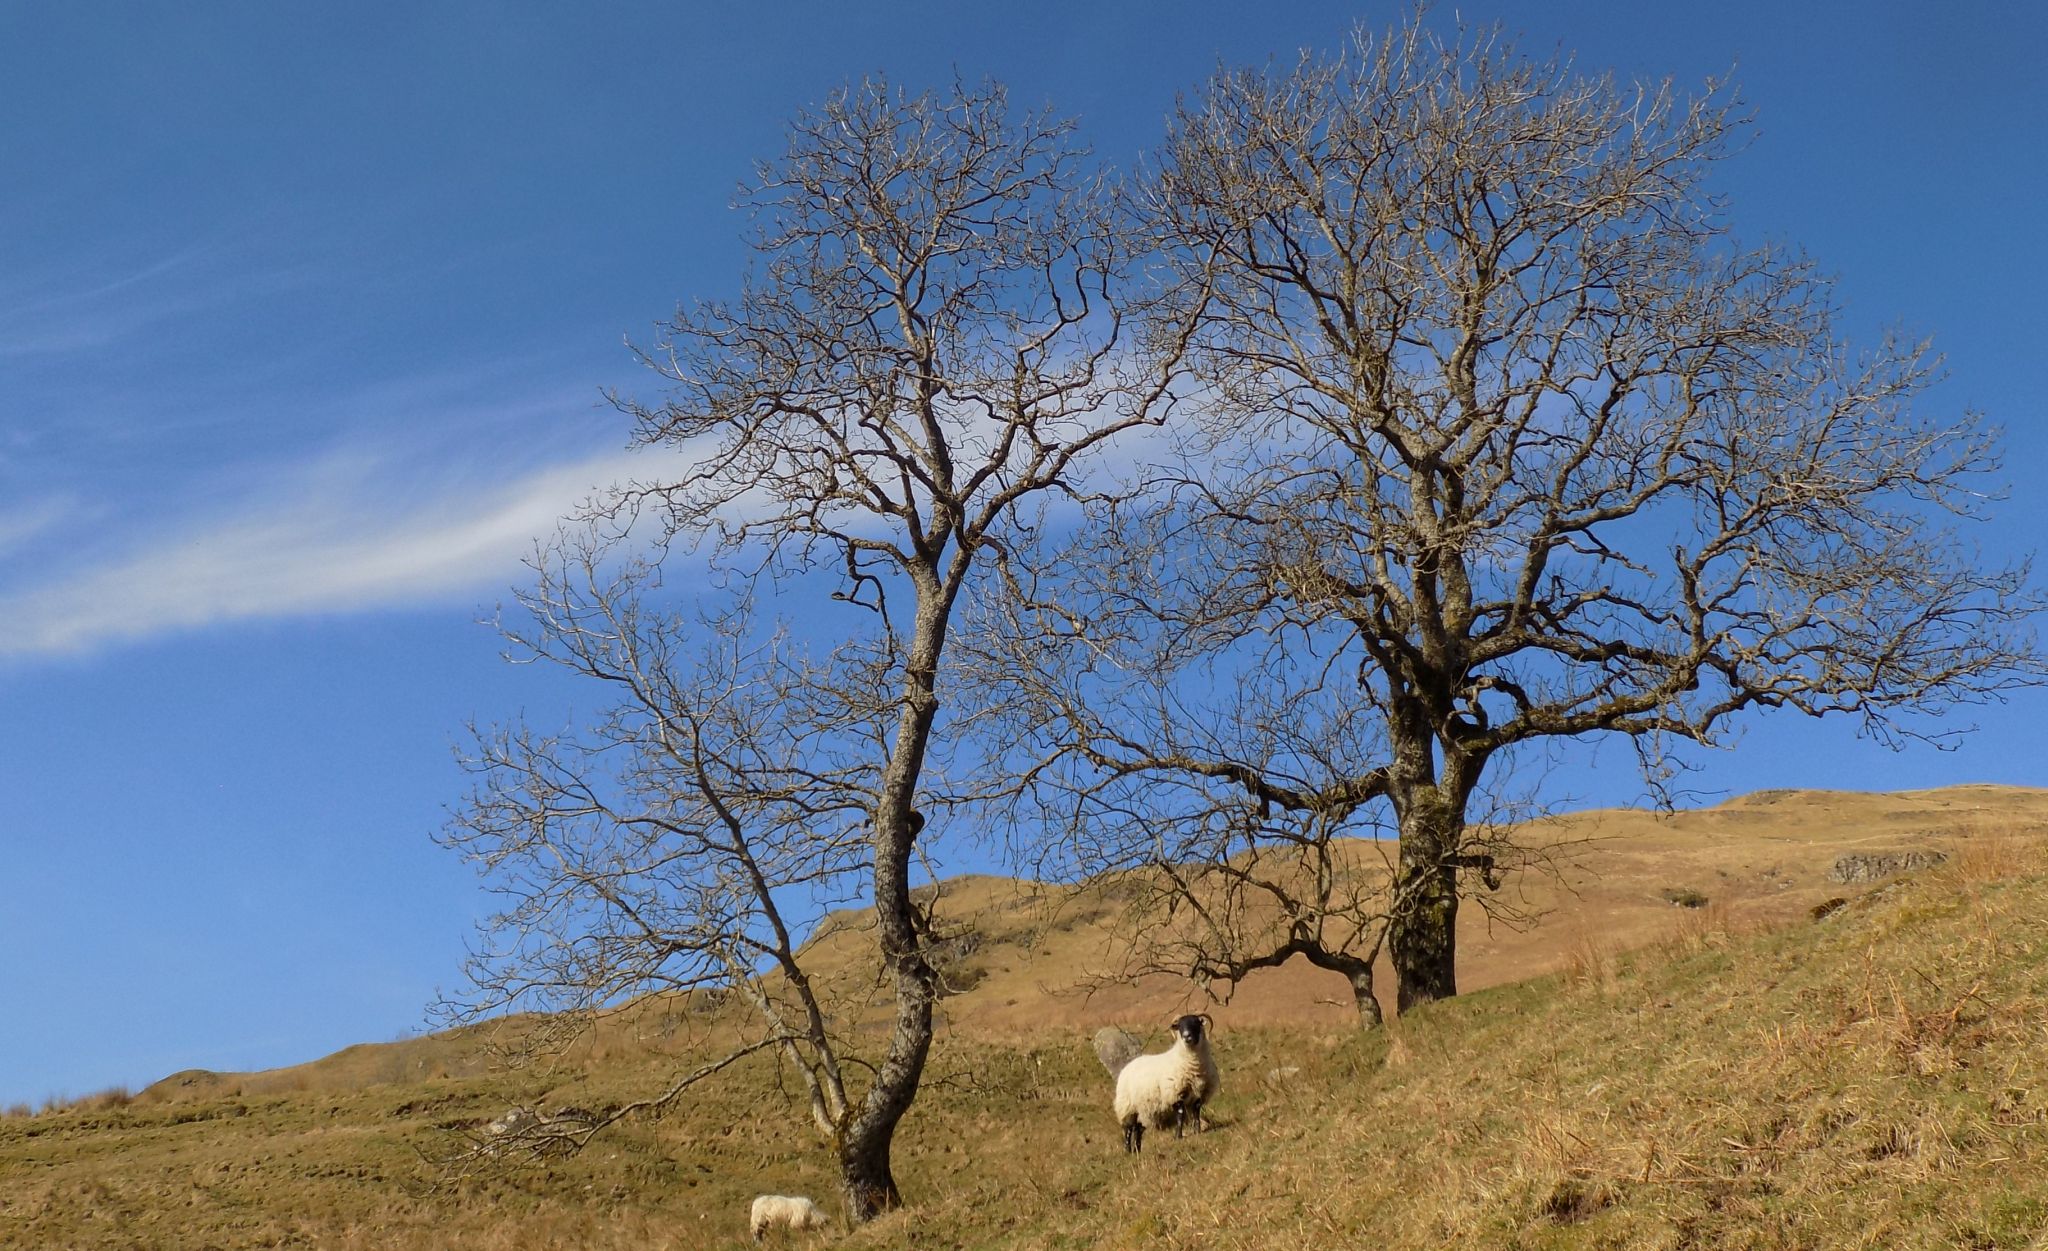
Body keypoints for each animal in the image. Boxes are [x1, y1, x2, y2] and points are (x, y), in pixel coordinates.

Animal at [1105, 1011, 1212, 1162]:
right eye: (1180, 1026)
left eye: (1196, 1023)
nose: (1187, 1036)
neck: (1191, 1063)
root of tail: (1128, 1066)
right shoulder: (1174, 1093)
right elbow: (1180, 1115)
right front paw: (1178, 1136)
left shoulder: (1199, 1094)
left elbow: (1196, 1113)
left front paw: (1197, 1132)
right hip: (1127, 1105)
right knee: (1128, 1128)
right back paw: (1127, 1150)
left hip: (1143, 1107)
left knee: (1138, 1128)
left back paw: (1137, 1149)